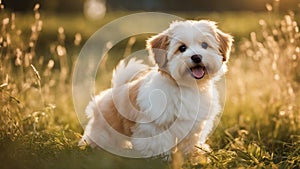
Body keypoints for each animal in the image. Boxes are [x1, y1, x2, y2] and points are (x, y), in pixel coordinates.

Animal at [81, 19, 233, 158]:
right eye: (182, 48)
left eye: (205, 45)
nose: (196, 57)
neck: (187, 87)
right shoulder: (154, 125)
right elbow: (159, 142)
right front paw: (163, 158)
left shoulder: (195, 125)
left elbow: (191, 141)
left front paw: (194, 156)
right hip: (105, 128)